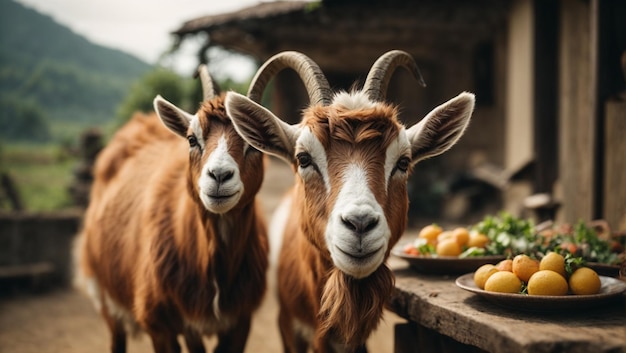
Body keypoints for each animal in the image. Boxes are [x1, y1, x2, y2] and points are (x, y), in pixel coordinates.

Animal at [73, 66, 268, 352]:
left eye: (254, 144)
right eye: (191, 139)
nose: (219, 176)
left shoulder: (240, 322)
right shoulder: (158, 324)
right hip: (104, 288)